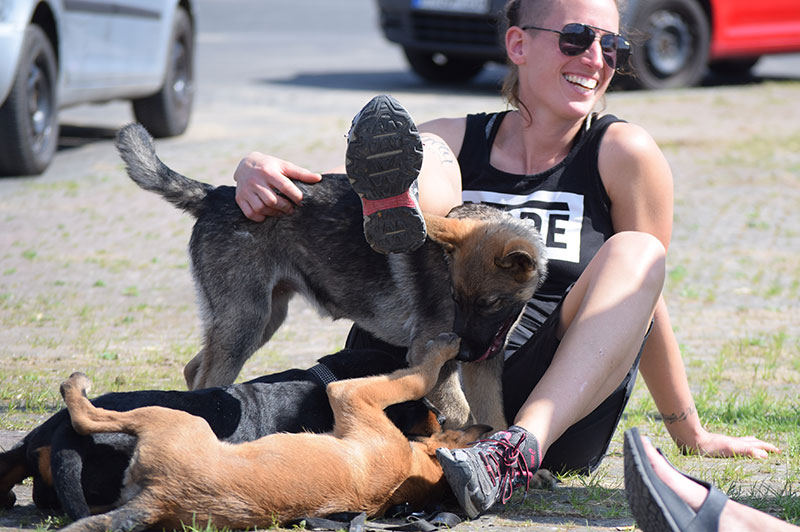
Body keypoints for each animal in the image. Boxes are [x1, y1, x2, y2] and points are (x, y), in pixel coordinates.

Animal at [56, 334, 488, 528]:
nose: (444, 419)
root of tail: (162, 496)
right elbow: (415, 377)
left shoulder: (352, 394)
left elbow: (415, 375)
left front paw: (440, 349)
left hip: (174, 419)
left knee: (86, 417)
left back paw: (75, 387)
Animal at [114, 123, 552, 428]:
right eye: (457, 298)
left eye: (489, 303)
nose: (463, 352)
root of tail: (218, 193)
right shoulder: (433, 357)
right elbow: (461, 415)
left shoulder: (483, 364)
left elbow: (493, 414)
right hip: (245, 322)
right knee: (207, 378)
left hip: (262, 319)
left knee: (195, 369)